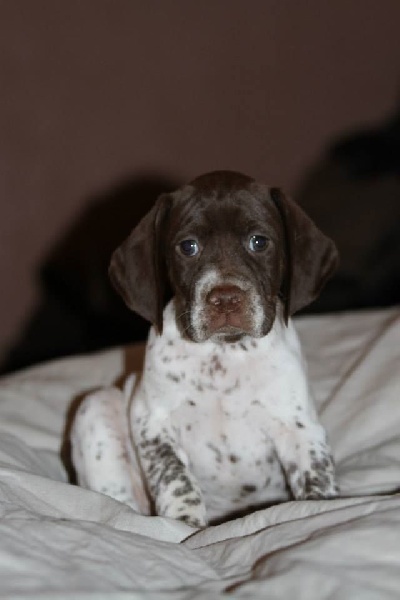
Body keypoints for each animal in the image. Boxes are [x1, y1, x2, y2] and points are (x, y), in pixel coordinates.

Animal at [71, 170, 340, 528]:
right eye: (189, 247)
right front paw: (184, 525)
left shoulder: (298, 427)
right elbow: (176, 480)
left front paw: (320, 510)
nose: (225, 299)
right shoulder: (153, 423)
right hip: (96, 405)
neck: (222, 356)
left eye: (259, 241)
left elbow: (316, 476)